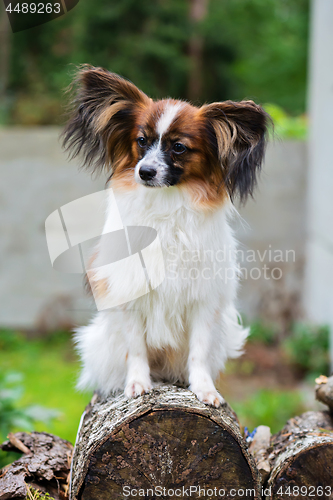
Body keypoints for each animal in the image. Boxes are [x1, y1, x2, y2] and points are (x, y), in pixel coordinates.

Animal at [62, 65, 268, 406]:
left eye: (179, 147)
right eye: (142, 141)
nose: (144, 172)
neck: (166, 206)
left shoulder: (203, 300)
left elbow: (199, 351)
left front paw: (204, 389)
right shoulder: (130, 294)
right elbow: (135, 349)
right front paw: (136, 384)